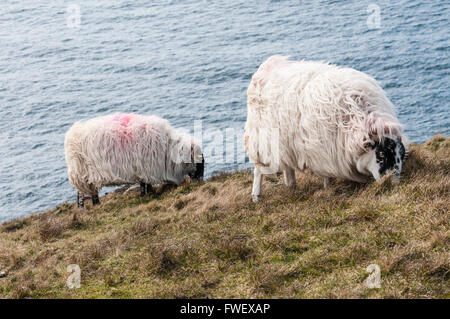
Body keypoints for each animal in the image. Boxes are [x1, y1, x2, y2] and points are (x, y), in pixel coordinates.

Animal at [64, 112, 205, 208]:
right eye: (199, 164)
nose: (200, 181)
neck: (169, 148)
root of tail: (71, 134)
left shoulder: (143, 170)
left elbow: (144, 184)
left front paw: (148, 193)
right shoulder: (146, 168)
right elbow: (144, 185)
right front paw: (146, 195)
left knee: (91, 191)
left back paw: (95, 204)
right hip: (82, 173)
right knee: (81, 194)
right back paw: (84, 208)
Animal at [244, 55, 410, 202]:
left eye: (402, 155)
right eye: (381, 154)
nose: (393, 184)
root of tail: (266, 66)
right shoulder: (322, 148)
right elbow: (326, 173)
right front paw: (328, 189)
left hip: (284, 140)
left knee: (287, 166)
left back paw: (292, 186)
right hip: (262, 138)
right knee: (258, 169)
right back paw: (256, 196)